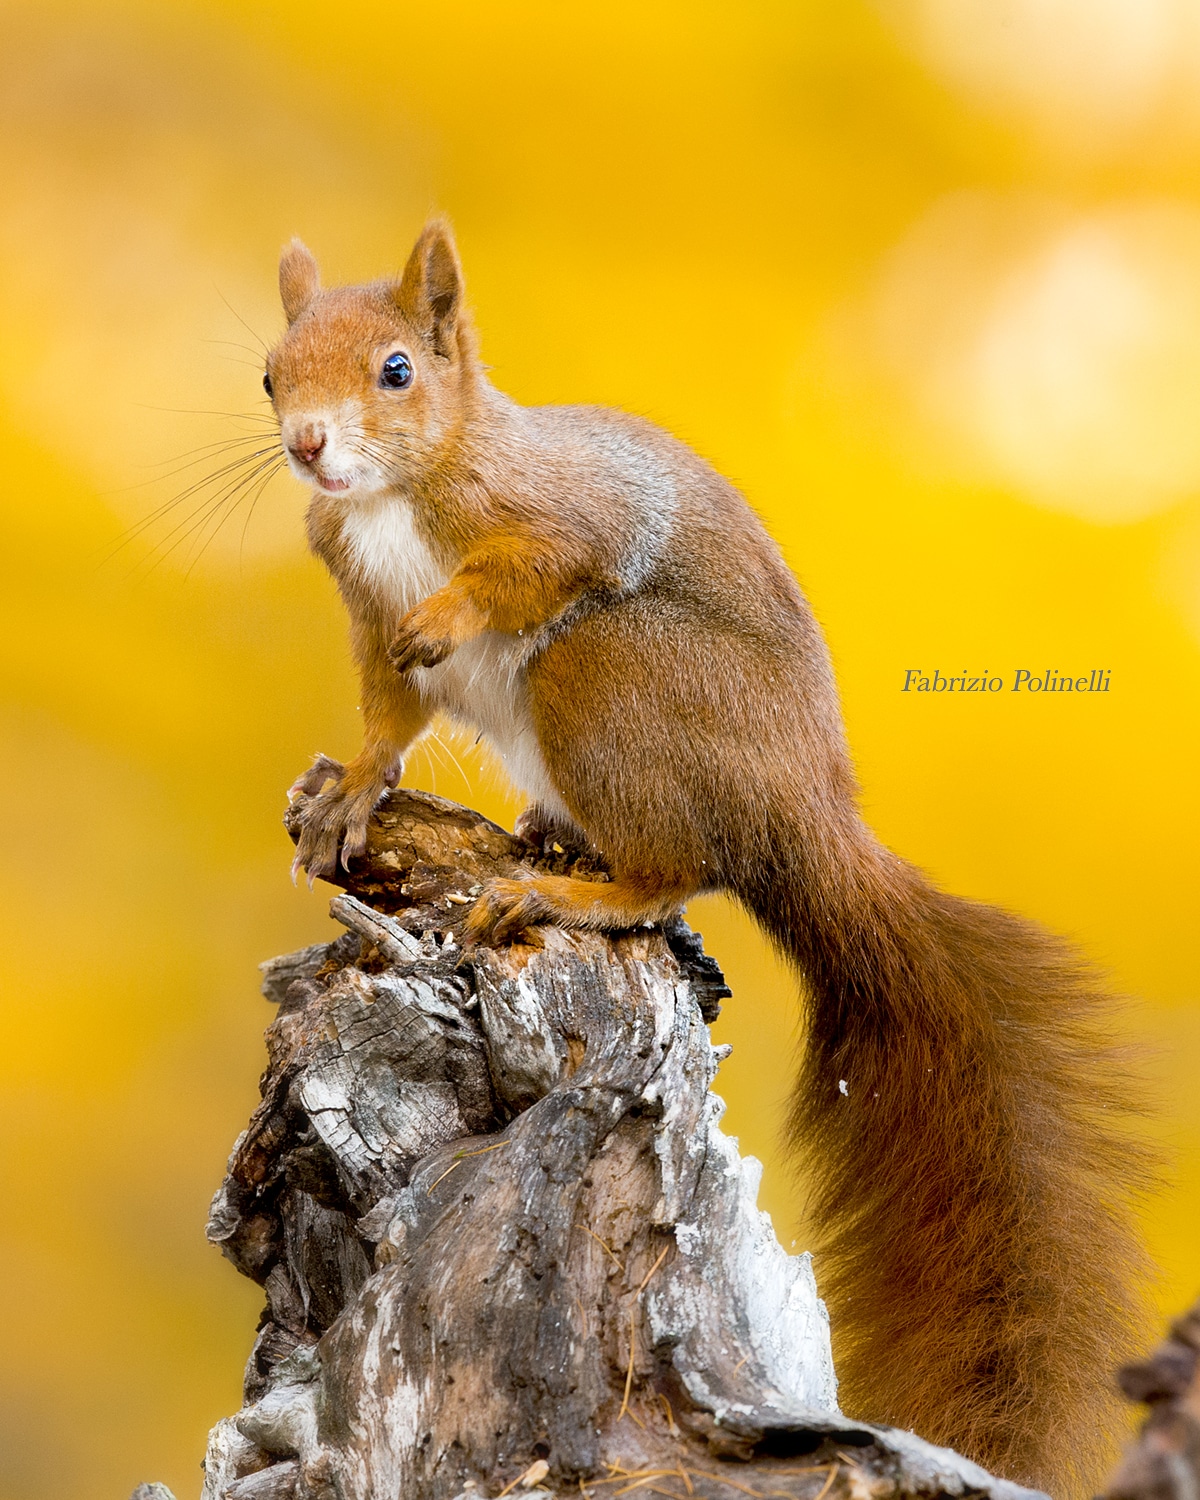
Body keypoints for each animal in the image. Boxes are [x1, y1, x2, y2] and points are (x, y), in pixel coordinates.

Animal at [265, 221, 1146, 1494]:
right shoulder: (360, 607)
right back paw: (547, 837)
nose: (307, 445)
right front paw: (349, 796)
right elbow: (388, 716)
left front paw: (453, 614)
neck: (393, 496)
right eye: (270, 375)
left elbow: (542, 560)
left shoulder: (567, 508)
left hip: (609, 674)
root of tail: (806, 819)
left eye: (395, 370)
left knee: (676, 868)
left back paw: (564, 890)